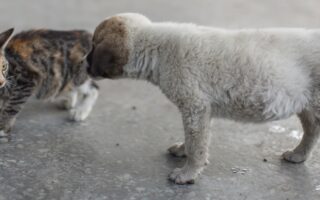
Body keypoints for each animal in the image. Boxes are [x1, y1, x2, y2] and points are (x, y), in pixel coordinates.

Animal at [86, 12, 320, 184]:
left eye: (94, 45)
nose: (83, 63)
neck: (158, 51)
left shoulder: (195, 107)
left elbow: (196, 144)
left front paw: (187, 173)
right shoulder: (201, 111)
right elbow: (195, 139)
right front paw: (182, 150)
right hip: (308, 107)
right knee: (312, 131)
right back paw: (299, 154)